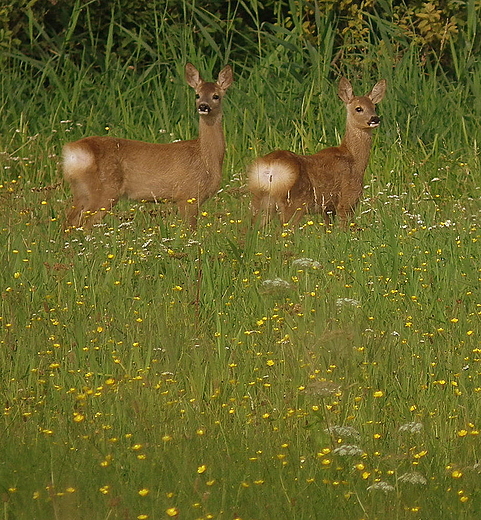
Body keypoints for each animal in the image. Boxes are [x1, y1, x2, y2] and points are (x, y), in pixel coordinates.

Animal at [62, 62, 234, 228]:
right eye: (197, 95)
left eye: (216, 96)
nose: (203, 106)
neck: (206, 157)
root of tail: (74, 151)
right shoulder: (187, 195)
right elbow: (190, 230)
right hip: (104, 191)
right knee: (83, 224)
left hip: (80, 190)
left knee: (69, 221)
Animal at [248, 76, 386, 228]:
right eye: (359, 108)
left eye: (374, 107)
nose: (375, 118)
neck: (354, 159)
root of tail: (270, 167)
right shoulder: (347, 200)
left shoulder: (328, 209)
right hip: (294, 203)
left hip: (261, 201)